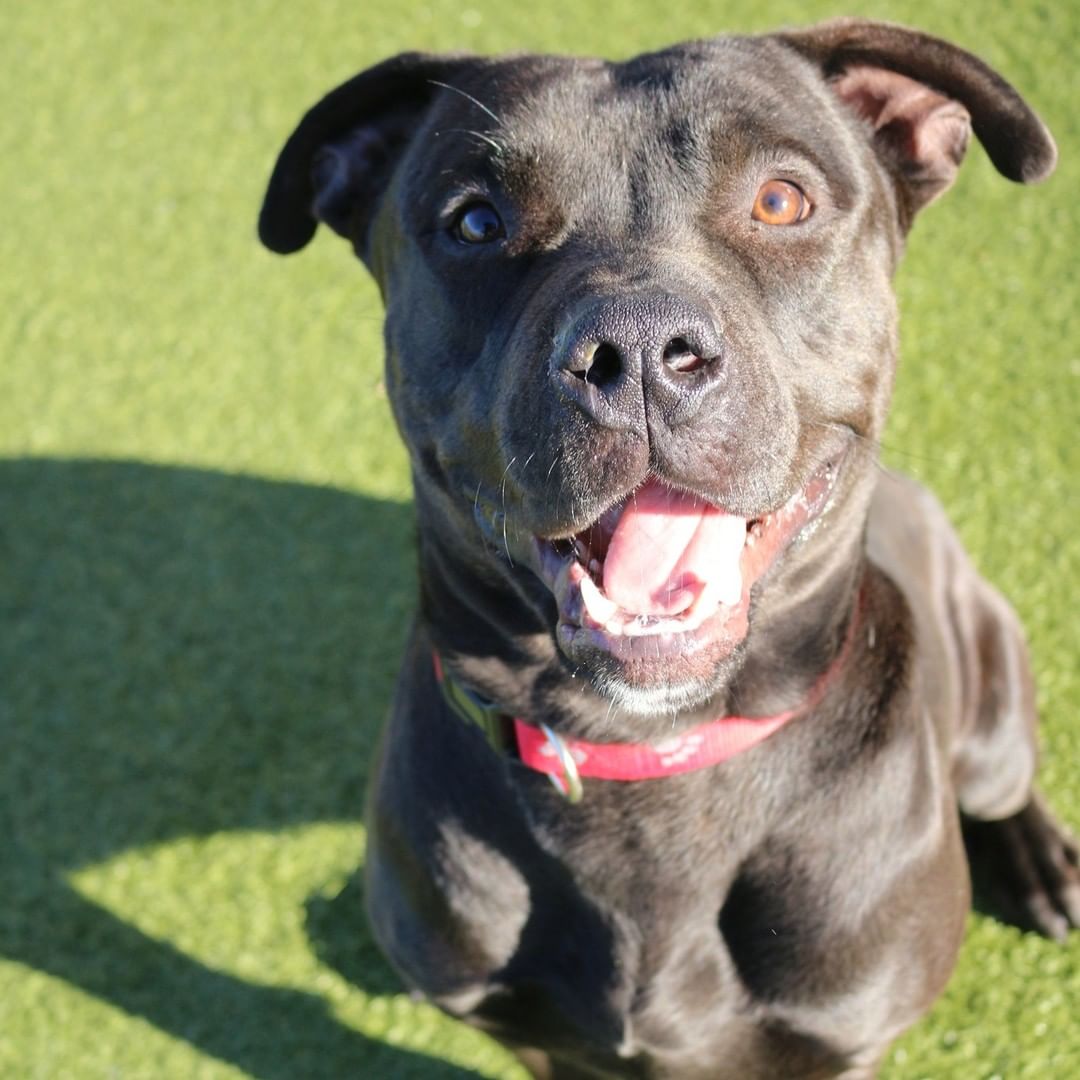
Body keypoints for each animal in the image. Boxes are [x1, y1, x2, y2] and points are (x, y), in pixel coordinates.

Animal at [257, 19, 1075, 1080]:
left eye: (781, 199)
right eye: (475, 222)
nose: (638, 350)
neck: (650, 754)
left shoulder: (842, 1041)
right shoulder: (536, 1039)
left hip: (992, 701)